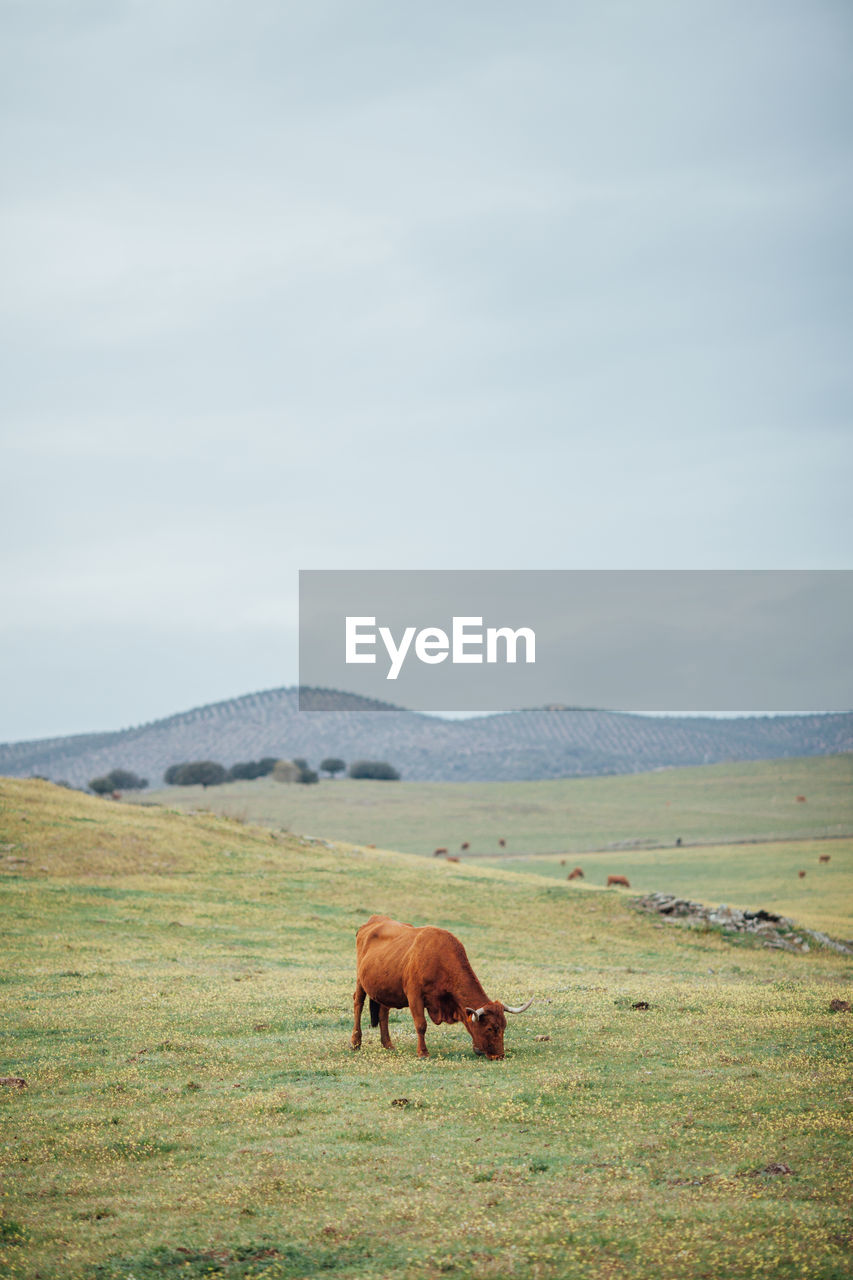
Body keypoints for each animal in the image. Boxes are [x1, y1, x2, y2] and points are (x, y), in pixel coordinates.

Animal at [348, 921, 527, 1059]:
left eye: (504, 1026)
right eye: (490, 1028)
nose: (499, 1056)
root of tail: (372, 922)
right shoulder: (414, 996)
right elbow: (421, 1025)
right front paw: (423, 1053)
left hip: (386, 989)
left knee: (383, 1013)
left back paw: (388, 1044)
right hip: (360, 981)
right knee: (358, 1004)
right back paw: (355, 1042)